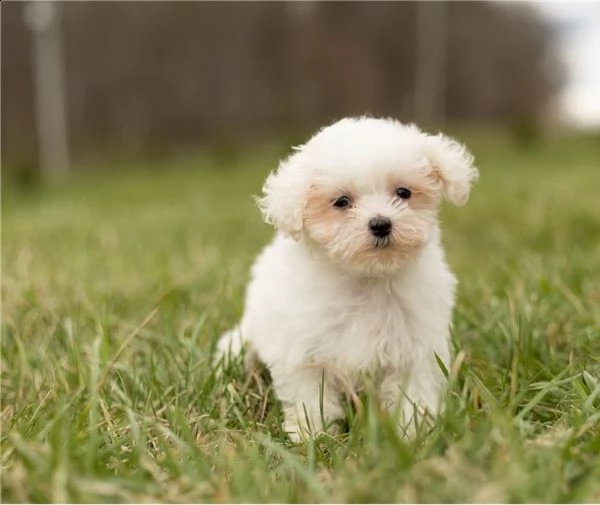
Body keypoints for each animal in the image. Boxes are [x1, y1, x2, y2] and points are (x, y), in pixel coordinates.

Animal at [216, 116, 478, 440]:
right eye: (341, 202)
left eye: (403, 193)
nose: (381, 223)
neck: (366, 279)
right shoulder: (304, 353)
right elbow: (310, 399)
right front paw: (313, 437)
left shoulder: (414, 350)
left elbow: (412, 396)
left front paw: (413, 434)